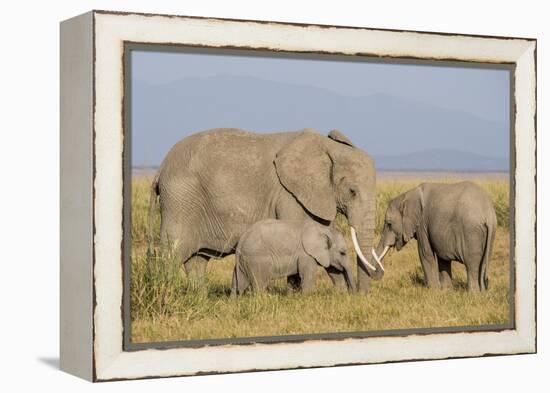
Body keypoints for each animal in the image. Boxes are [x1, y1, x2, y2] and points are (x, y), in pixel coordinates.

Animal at [149, 128, 386, 290]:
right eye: (352, 191)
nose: (358, 295)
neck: (327, 148)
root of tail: (160, 170)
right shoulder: (290, 195)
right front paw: (295, 295)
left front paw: (338, 294)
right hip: (180, 201)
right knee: (172, 253)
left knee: (196, 261)